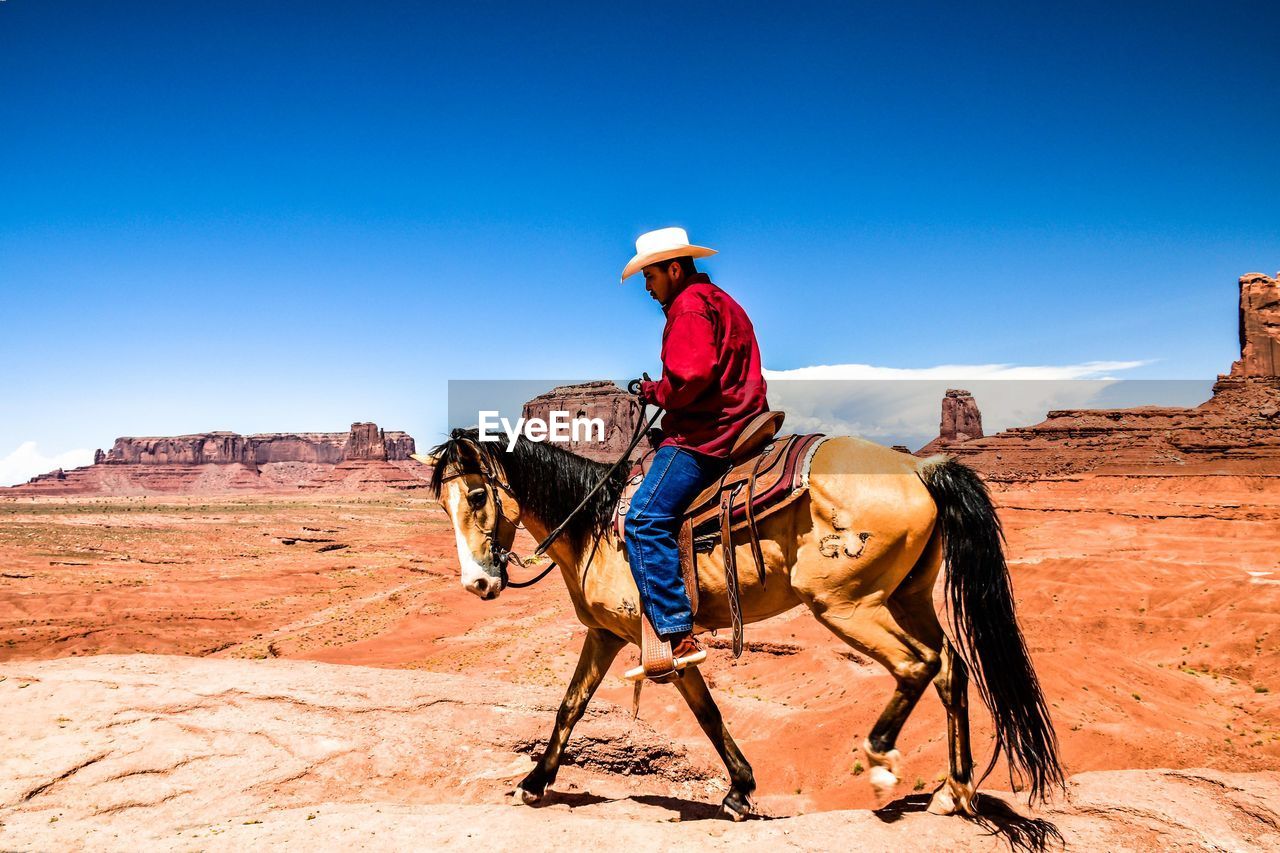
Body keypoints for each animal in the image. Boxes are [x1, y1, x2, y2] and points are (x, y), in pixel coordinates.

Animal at [424, 427, 1064, 819]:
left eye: (477, 496)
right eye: (444, 504)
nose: (478, 584)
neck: (595, 527)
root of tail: (918, 467)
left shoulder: (665, 643)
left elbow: (705, 714)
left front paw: (740, 789)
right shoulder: (606, 635)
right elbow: (571, 705)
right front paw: (535, 782)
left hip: (845, 602)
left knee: (917, 664)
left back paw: (884, 765)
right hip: (906, 597)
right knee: (951, 667)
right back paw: (954, 793)